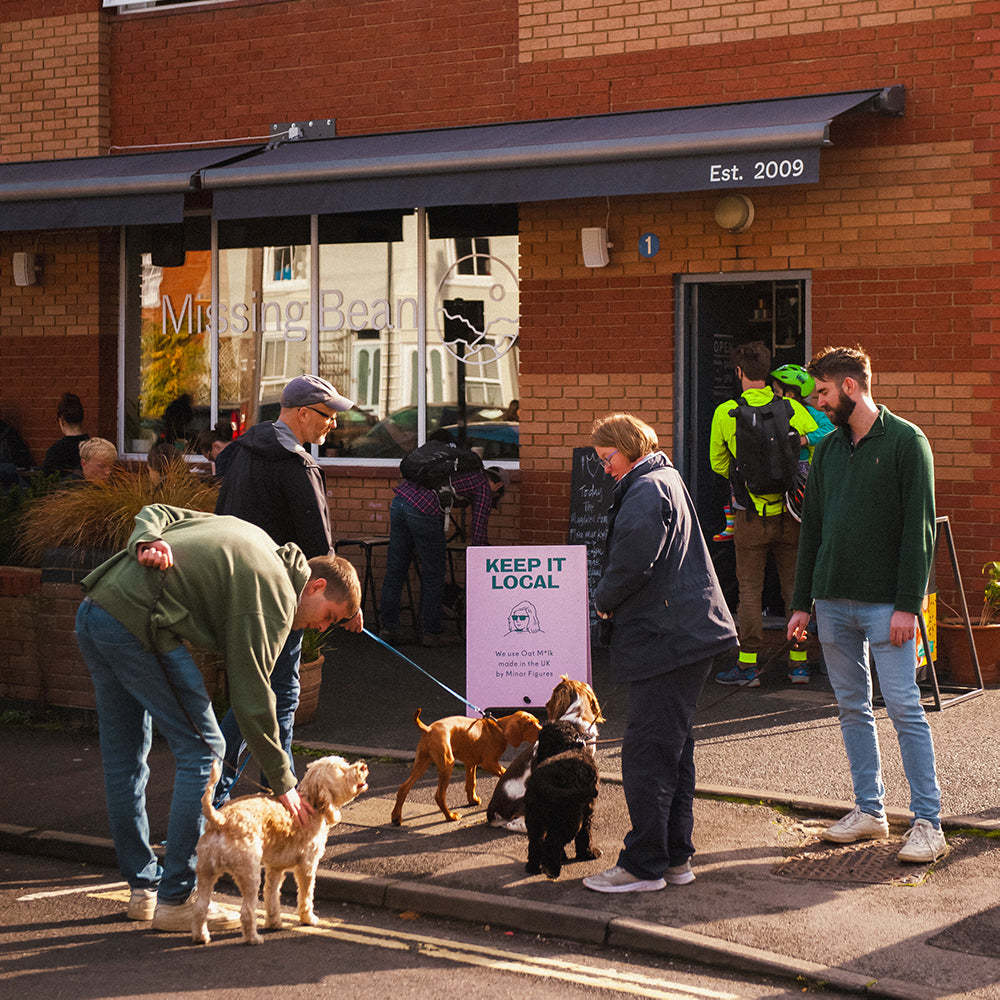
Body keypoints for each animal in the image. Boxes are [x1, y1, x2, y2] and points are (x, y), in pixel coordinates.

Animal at [191, 756, 368, 944]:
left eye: (346, 763)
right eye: (341, 769)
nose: (362, 766)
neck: (310, 803)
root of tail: (221, 820)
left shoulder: (275, 868)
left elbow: (272, 895)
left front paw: (274, 922)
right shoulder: (307, 866)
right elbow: (306, 895)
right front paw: (308, 918)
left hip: (206, 872)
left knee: (200, 907)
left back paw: (201, 936)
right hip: (249, 874)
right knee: (246, 911)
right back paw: (253, 938)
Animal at [392, 708, 544, 824]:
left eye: (537, 722)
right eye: (530, 724)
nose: (544, 730)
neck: (499, 728)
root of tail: (428, 729)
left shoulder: (470, 763)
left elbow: (471, 783)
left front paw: (472, 800)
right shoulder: (488, 763)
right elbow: (504, 773)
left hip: (422, 762)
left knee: (404, 787)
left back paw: (396, 817)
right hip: (447, 764)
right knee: (439, 795)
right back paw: (450, 816)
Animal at [524, 724, 600, 880]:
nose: (537, 757)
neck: (567, 747)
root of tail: (543, 782)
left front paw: (564, 857)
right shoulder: (587, 810)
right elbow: (585, 835)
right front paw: (588, 854)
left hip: (535, 818)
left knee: (536, 842)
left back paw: (533, 867)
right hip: (570, 819)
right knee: (552, 841)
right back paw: (552, 870)